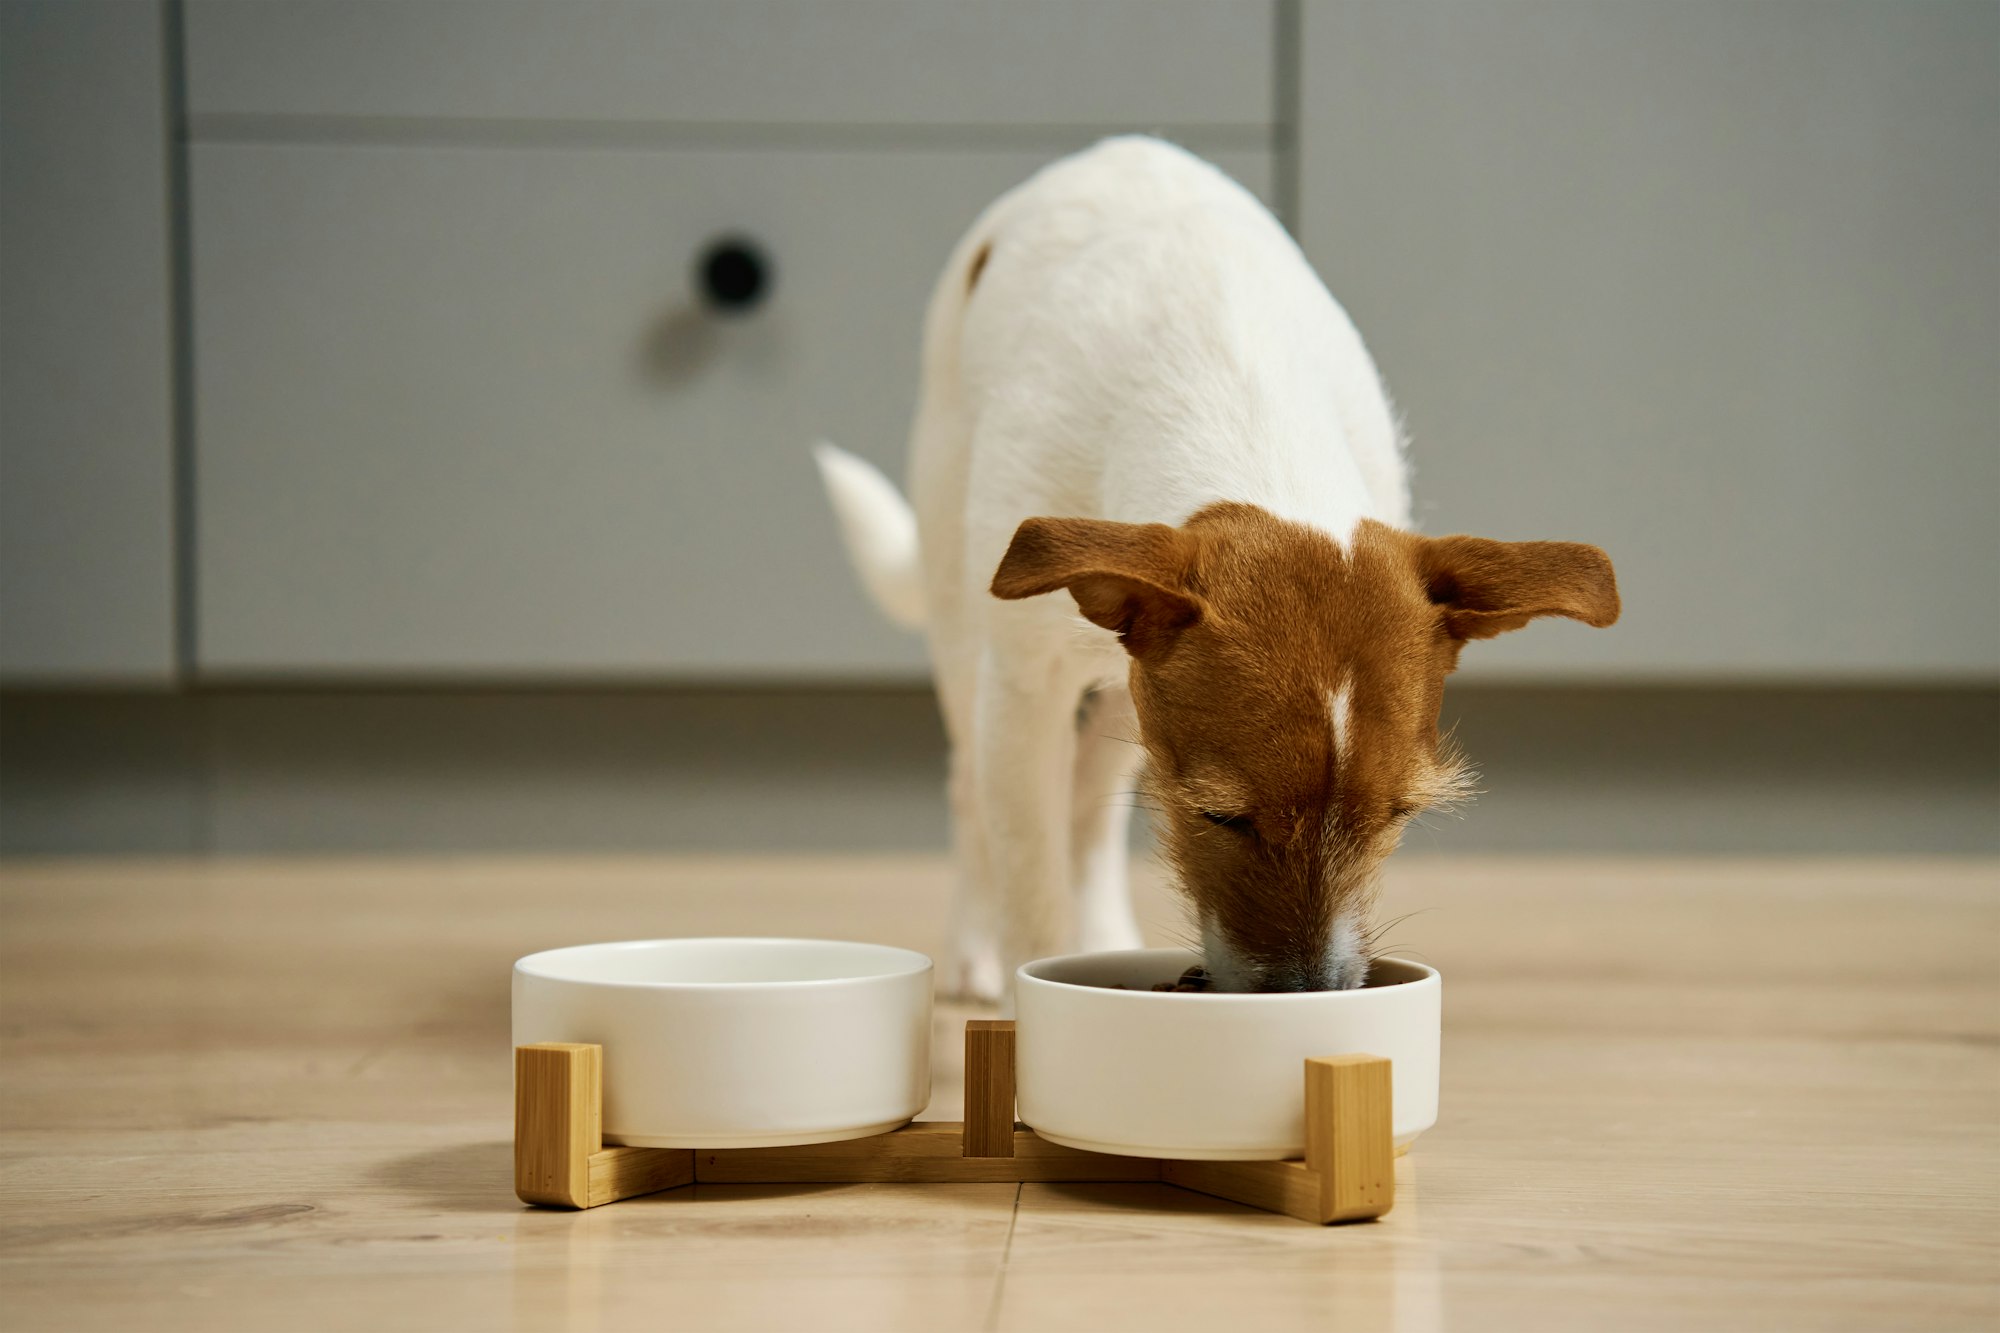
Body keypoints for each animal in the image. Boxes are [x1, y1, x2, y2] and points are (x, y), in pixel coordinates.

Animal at [812, 140, 1608, 1000]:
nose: (1308, 993)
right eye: (1221, 817)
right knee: (972, 790)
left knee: (1088, 812)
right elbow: (1030, 883)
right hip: (964, 625)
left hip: (1123, 690)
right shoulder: (1022, 690)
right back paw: (972, 950)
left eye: (1398, 815)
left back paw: (1102, 932)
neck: (1240, 396)